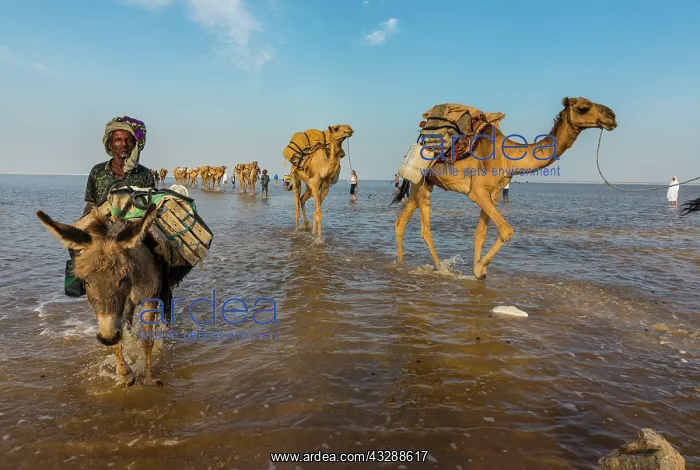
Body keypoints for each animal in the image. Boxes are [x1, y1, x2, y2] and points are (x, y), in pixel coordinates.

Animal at [36, 204, 166, 387]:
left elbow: (147, 340)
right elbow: (118, 338)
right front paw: (125, 374)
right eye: (86, 282)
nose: (107, 338)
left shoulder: (151, 295)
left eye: (123, 278)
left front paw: (148, 378)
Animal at [392, 97, 617, 279]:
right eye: (583, 108)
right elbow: (506, 230)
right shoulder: (477, 191)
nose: (612, 116)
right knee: (424, 228)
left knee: (401, 222)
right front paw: (479, 269)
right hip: (421, 181)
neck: (508, 158)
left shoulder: (494, 193)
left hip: (422, 182)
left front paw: (478, 271)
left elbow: (480, 234)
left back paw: (401, 264)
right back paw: (438, 268)